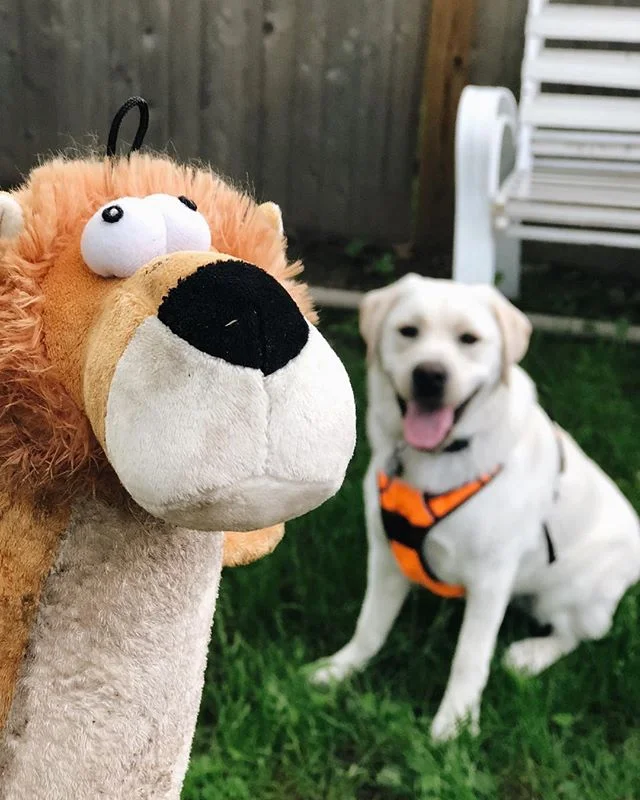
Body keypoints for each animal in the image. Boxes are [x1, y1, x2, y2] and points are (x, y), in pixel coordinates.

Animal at [310, 274, 640, 742]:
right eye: (408, 331)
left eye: (469, 339)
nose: (429, 375)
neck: (437, 460)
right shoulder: (387, 557)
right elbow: (370, 626)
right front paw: (340, 669)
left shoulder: (490, 579)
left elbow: (469, 657)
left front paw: (456, 723)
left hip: (573, 592)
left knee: (580, 633)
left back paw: (530, 655)